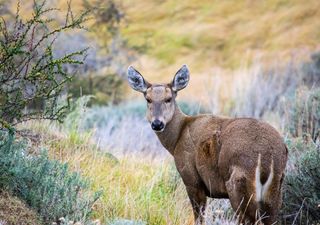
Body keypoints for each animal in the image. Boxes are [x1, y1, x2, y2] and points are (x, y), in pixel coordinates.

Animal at [126, 64, 288, 224]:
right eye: (148, 99)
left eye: (168, 98)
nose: (157, 123)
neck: (177, 138)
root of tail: (269, 158)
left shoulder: (191, 178)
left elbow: (199, 218)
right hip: (274, 191)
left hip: (239, 183)